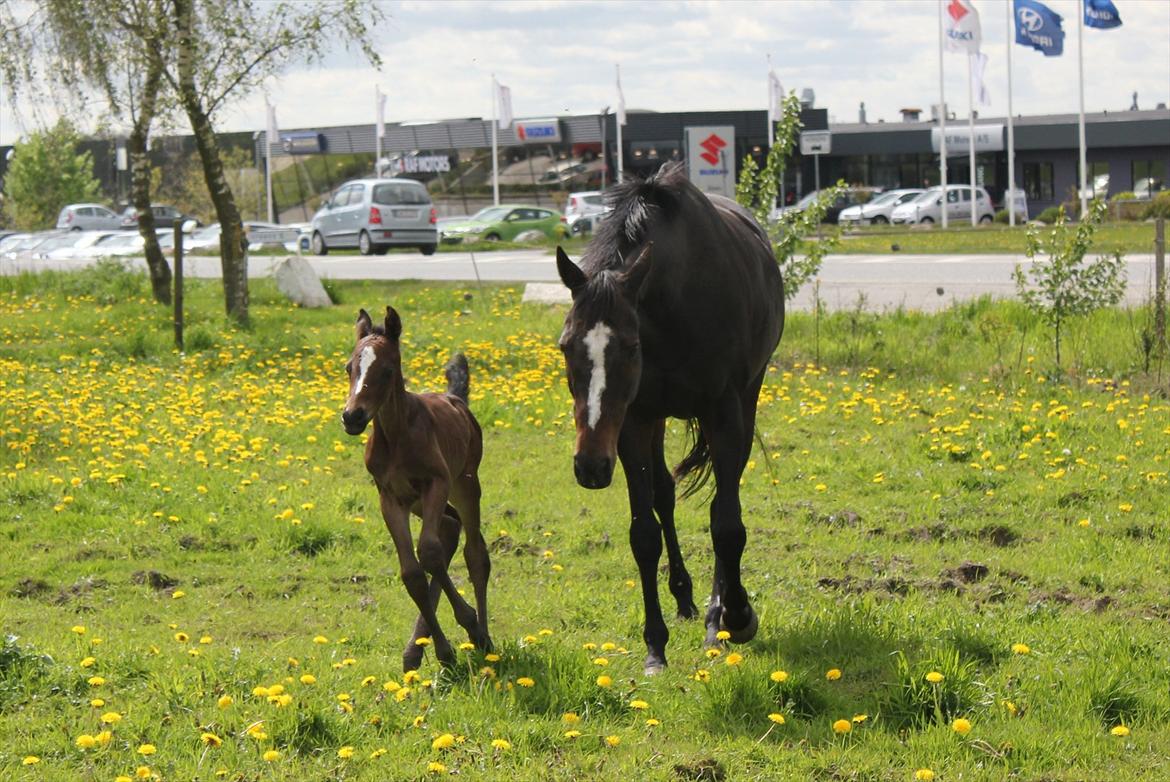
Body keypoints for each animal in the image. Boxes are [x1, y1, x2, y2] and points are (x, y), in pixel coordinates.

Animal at [341, 306, 491, 674]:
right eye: (350, 368)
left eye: (387, 370)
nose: (352, 416)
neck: (396, 436)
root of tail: (455, 398)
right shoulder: (390, 497)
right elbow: (412, 571)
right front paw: (440, 651)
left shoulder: (436, 482)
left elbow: (430, 553)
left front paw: (467, 624)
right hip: (420, 503)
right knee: (450, 528)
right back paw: (417, 648)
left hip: (465, 484)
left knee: (475, 552)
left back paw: (483, 635)